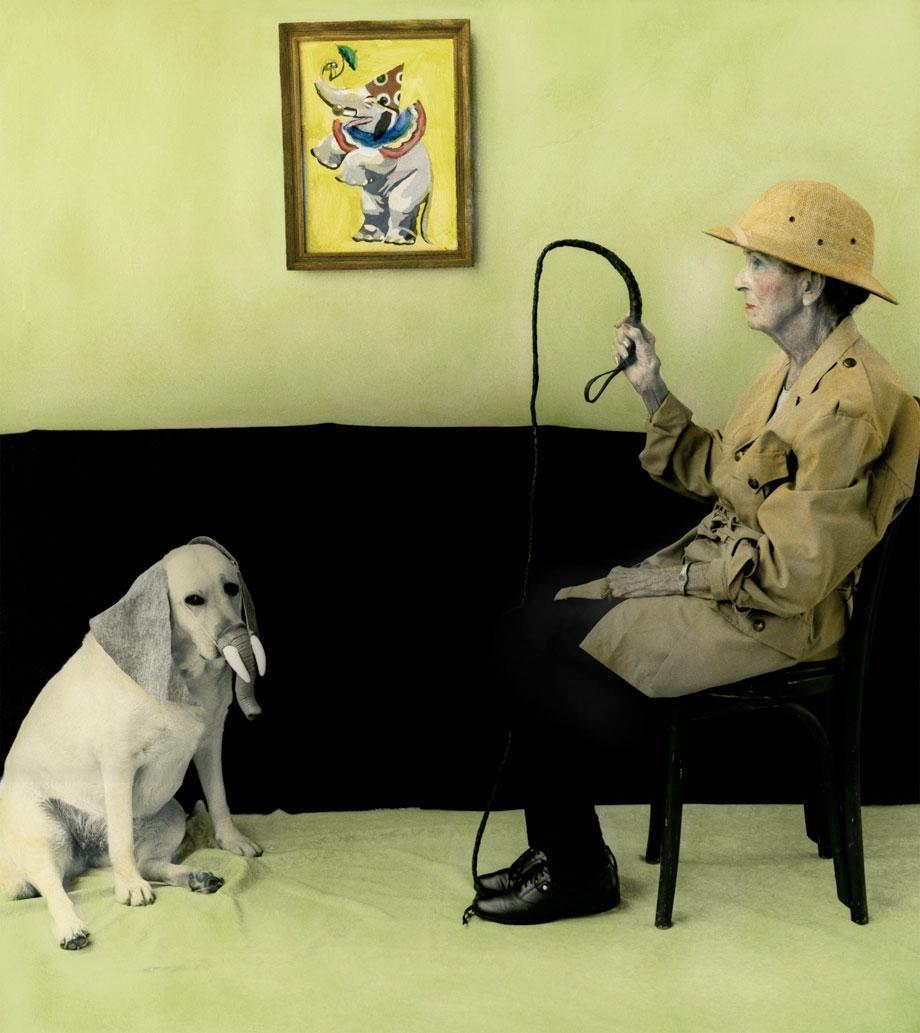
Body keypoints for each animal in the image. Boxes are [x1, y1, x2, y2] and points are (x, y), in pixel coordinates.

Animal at [0, 541, 266, 950]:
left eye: (232, 589)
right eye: (193, 600)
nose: (234, 632)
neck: (185, 673)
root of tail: (87, 855)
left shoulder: (210, 742)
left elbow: (219, 797)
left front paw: (233, 841)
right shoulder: (119, 765)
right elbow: (121, 834)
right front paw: (128, 888)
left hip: (172, 814)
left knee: (149, 862)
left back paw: (197, 877)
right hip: (45, 831)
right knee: (49, 883)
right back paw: (71, 928)